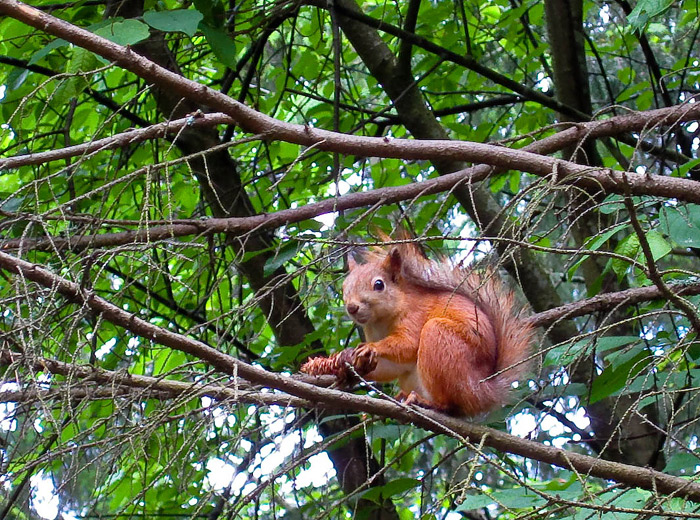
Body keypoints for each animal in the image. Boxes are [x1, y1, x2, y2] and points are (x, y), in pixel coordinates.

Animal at [298, 238, 532, 416]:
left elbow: (408, 344)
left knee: (452, 406)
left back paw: (428, 403)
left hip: (442, 341)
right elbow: (390, 367)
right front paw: (345, 363)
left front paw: (371, 349)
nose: (352, 307)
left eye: (379, 285)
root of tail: (484, 390)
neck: (380, 321)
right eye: (344, 286)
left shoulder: (415, 316)